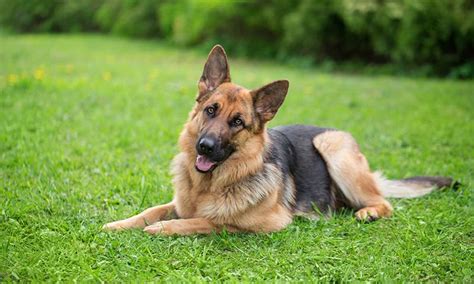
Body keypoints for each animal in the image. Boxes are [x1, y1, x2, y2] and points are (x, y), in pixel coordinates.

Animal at [103, 45, 452, 235]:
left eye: (238, 122)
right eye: (211, 110)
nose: (205, 147)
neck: (209, 185)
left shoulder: (264, 223)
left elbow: (207, 221)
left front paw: (165, 228)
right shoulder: (177, 203)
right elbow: (151, 210)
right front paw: (120, 224)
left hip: (333, 146)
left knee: (385, 203)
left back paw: (368, 212)